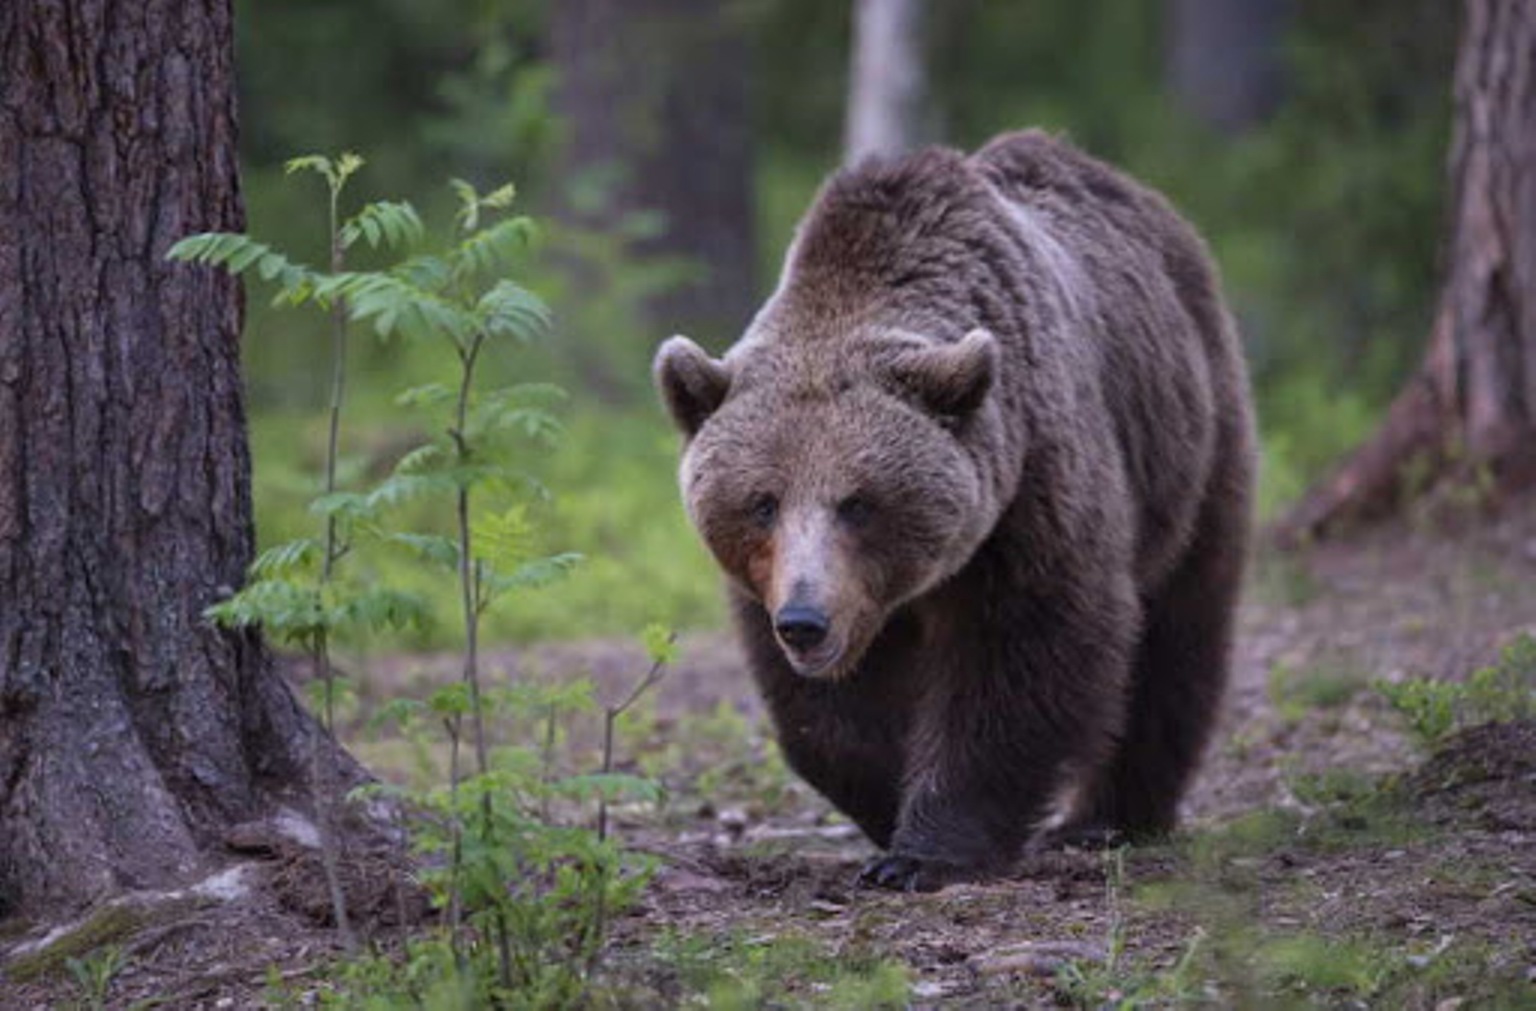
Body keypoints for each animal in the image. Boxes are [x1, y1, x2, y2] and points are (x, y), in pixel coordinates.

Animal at [654, 128, 1253, 891]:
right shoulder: (776, 587)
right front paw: (886, 798)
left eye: (858, 502)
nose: (806, 622)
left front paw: (923, 851)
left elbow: (1023, 654)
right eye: (762, 502)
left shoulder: (1028, 491)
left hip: (1188, 440)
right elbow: (828, 715)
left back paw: (1109, 818)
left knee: (1177, 628)